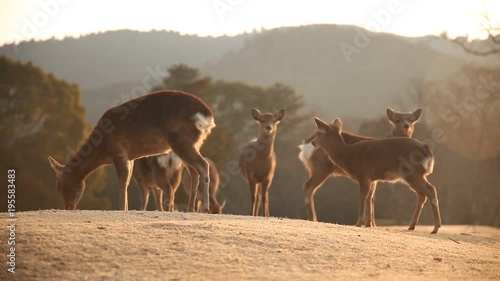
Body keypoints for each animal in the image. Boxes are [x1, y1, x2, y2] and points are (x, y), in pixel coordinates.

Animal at [47, 89, 216, 210]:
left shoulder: (119, 150)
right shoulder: (131, 157)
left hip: (181, 140)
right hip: (192, 143)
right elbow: (127, 180)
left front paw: (122, 208)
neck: (103, 149)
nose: (68, 207)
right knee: (193, 172)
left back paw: (205, 208)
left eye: (69, 186)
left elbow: (122, 180)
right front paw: (126, 208)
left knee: (202, 165)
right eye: (58, 188)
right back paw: (191, 208)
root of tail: (207, 115)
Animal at [312, 117, 442, 233]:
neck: (348, 156)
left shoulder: (363, 173)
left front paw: (359, 223)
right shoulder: (372, 179)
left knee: (431, 190)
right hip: (413, 175)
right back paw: (412, 226)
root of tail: (427, 149)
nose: (313, 142)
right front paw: (368, 224)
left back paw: (435, 227)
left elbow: (363, 196)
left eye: (318, 133)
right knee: (422, 194)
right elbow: (370, 197)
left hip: (414, 172)